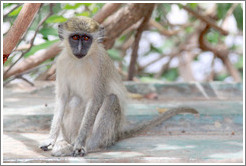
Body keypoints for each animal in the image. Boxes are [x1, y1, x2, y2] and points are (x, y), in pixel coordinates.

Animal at [40, 15, 198, 157]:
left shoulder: (100, 66)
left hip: (108, 134)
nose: (79, 49)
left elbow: (96, 100)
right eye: (74, 38)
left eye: (85, 38)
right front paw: (51, 139)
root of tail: (116, 133)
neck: (80, 61)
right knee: (73, 100)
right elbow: (62, 98)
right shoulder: (61, 63)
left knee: (110, 100)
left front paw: (79, 145)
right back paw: (64, 142)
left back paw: (88, 145)